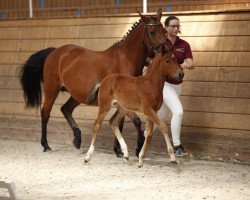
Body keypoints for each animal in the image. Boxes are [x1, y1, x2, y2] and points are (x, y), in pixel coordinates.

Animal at [19, 9, 166, 154]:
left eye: (164, 31)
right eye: (152, 32)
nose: (163, 51)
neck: (125, 60)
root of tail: (55, 52)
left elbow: (120, 123)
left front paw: (118, 149)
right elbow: (135, 121)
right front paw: (137, 147)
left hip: (78, 95)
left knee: (65, 109)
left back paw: (77, 138)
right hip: (52, 89)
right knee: (45, 113)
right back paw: (46, 144)